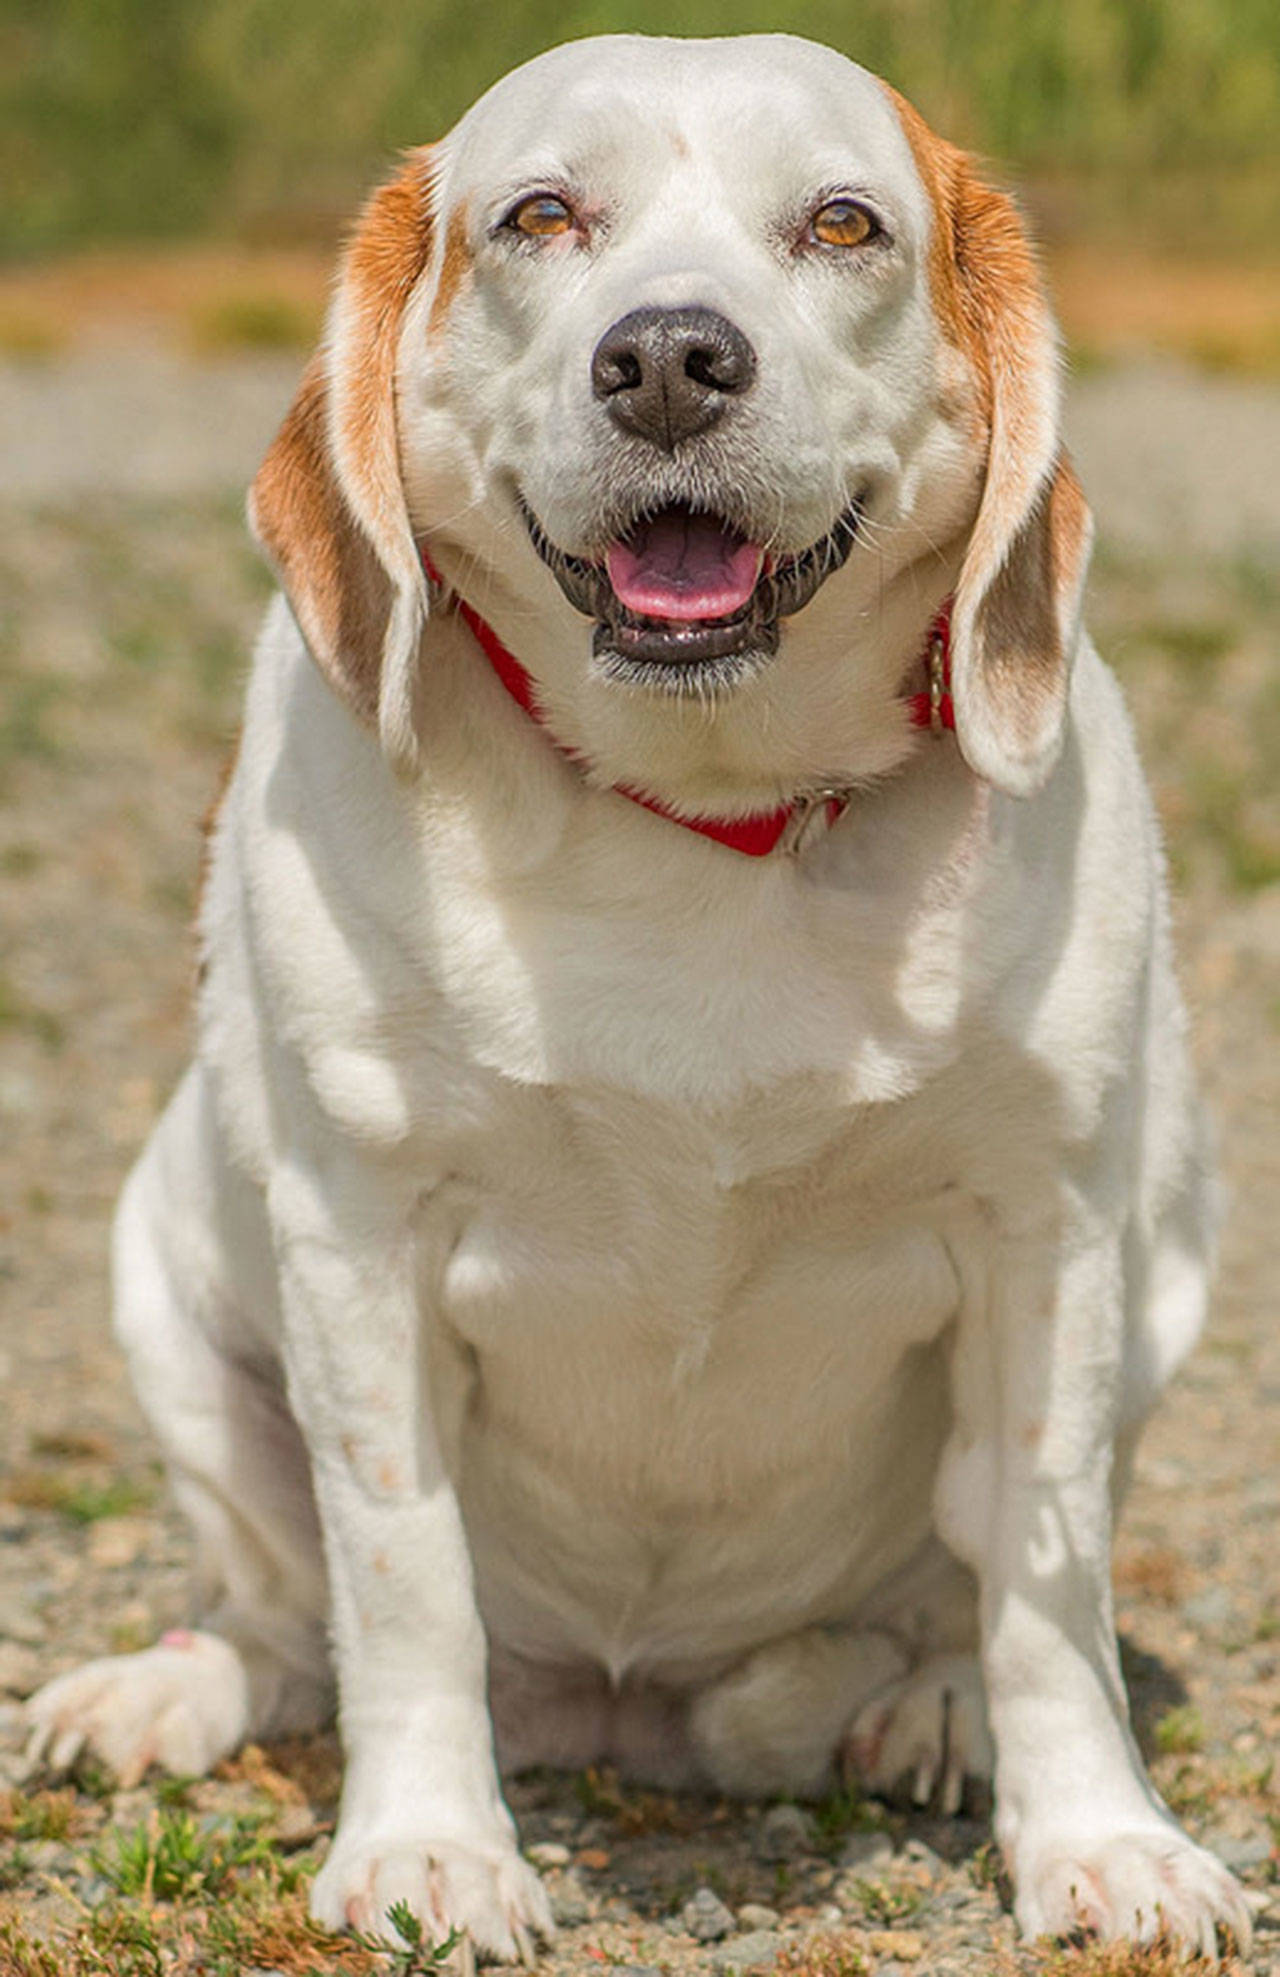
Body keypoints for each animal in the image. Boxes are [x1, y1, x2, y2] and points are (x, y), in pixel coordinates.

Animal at [24, 30, 1258, 1961]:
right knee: (282, 1617)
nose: (671, 357)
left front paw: (1103, 1841)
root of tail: (634, 1713)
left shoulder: (1049, 1226)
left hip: (1171, 1256)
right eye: (541, 215)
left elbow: (1045, 1577)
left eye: (844, 222)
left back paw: (935, 1707)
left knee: (965, 1578)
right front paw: (430, 1850)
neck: (705, 806)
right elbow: (402, 1576)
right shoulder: (358, 1236)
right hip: (165, 1276)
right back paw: (169, 1688)